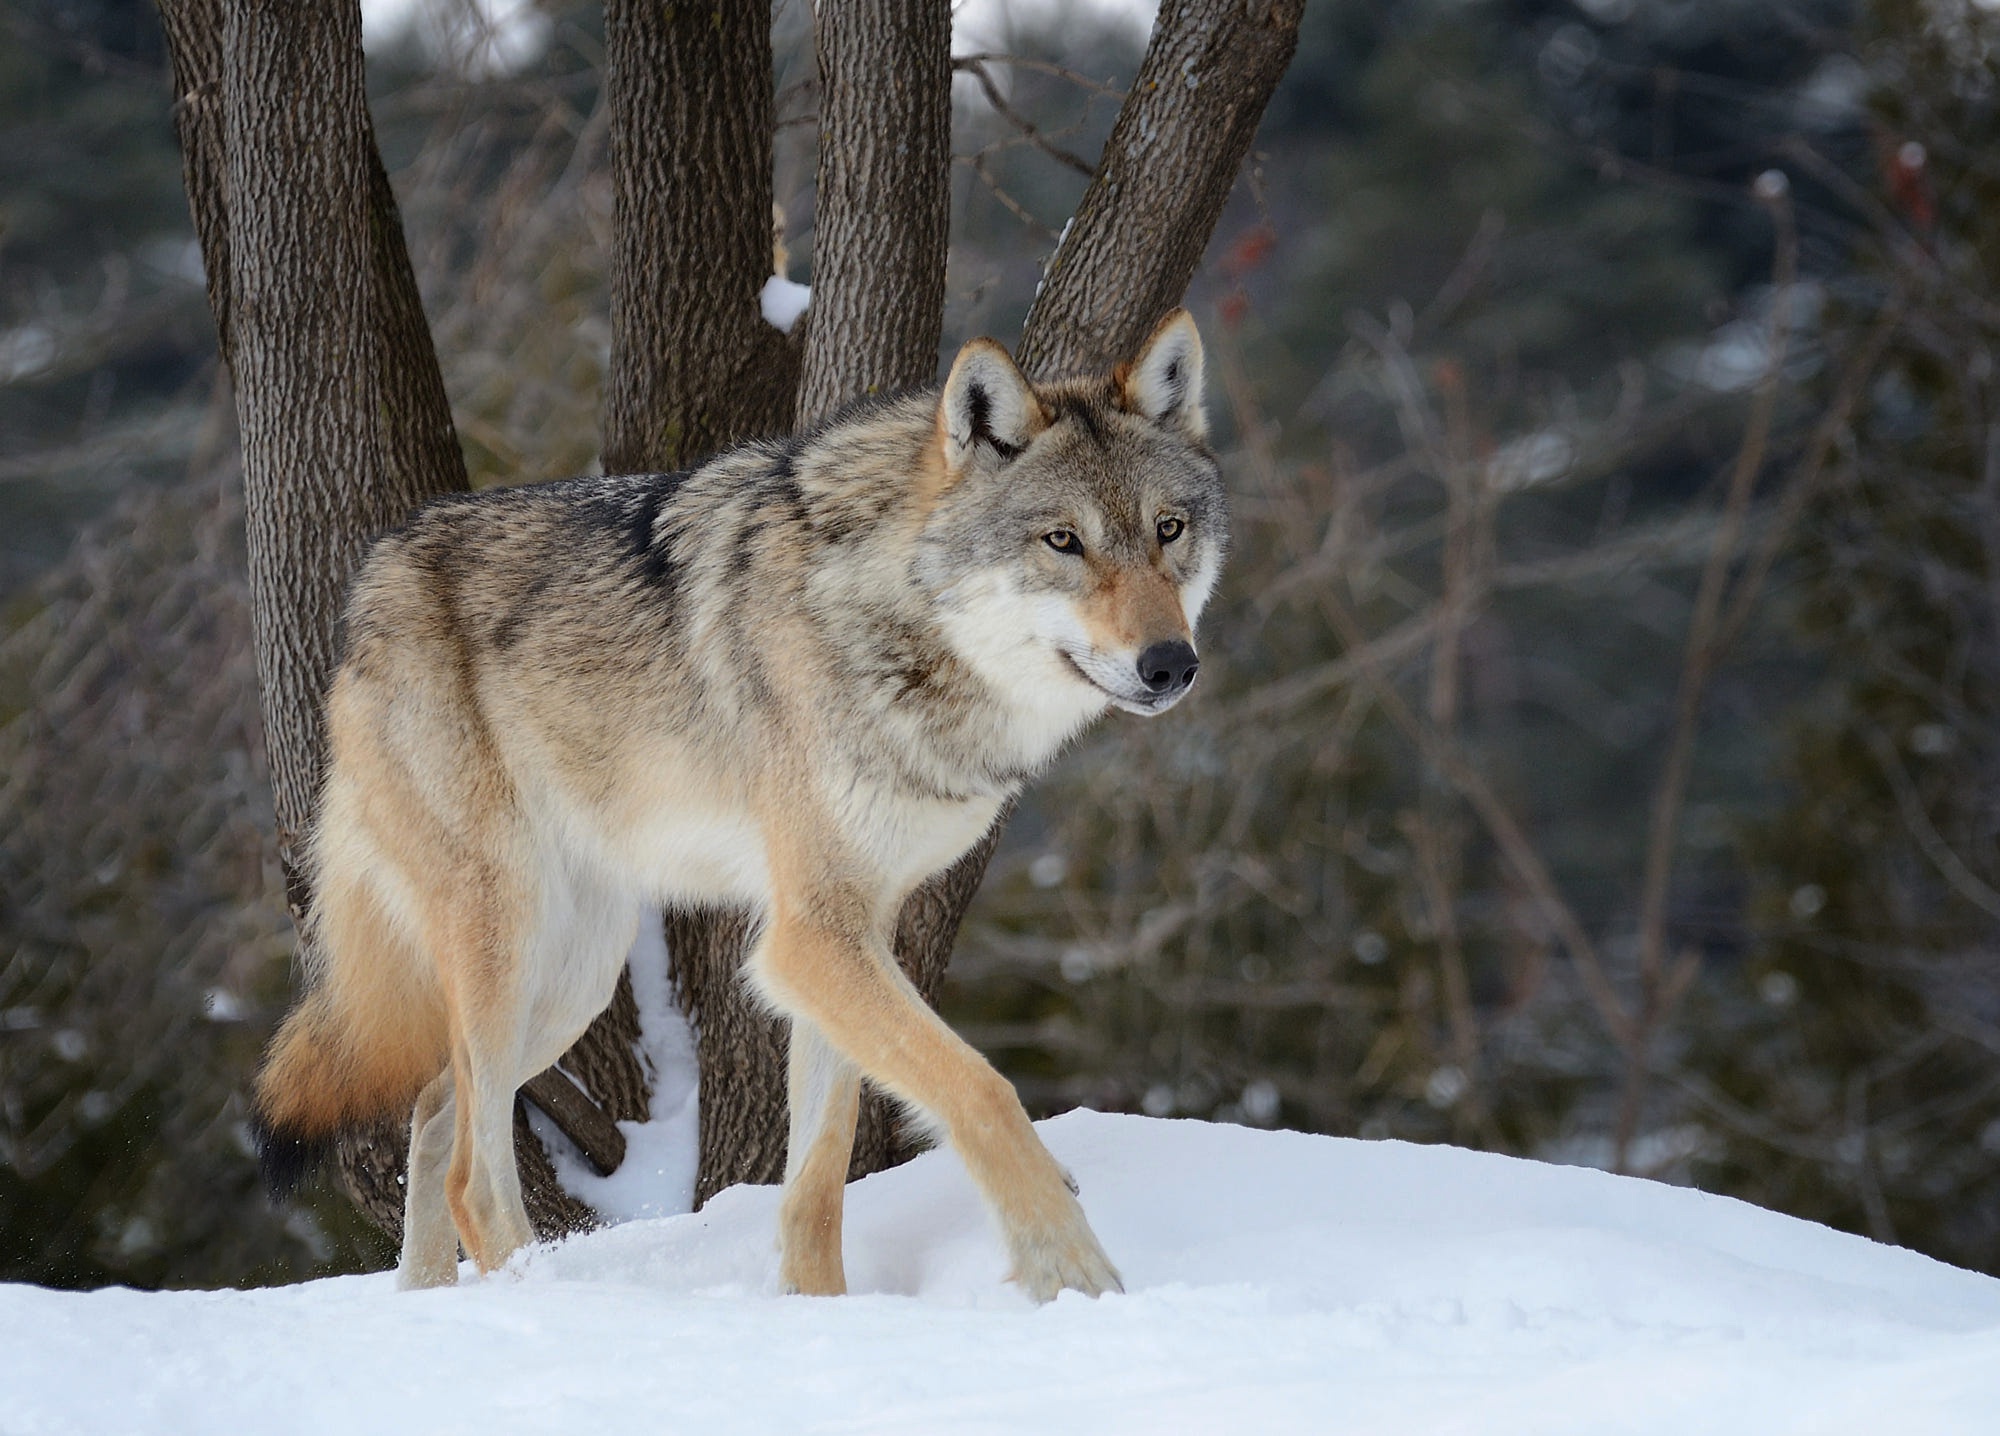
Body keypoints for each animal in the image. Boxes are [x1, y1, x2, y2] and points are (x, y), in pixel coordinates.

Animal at [250, 310, 1216, 1296]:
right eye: (1063, 541)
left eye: (1168, 529)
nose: (1171, 664)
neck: (894, 621)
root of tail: (367, 594)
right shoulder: (810, 937)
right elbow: (982, 1088)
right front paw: (1074, 1278)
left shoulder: (851, 932)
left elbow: (818, 1173)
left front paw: (817, 1308)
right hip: (510, 944)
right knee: (471, 1177)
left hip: (572, 977)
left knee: (433, 1105)